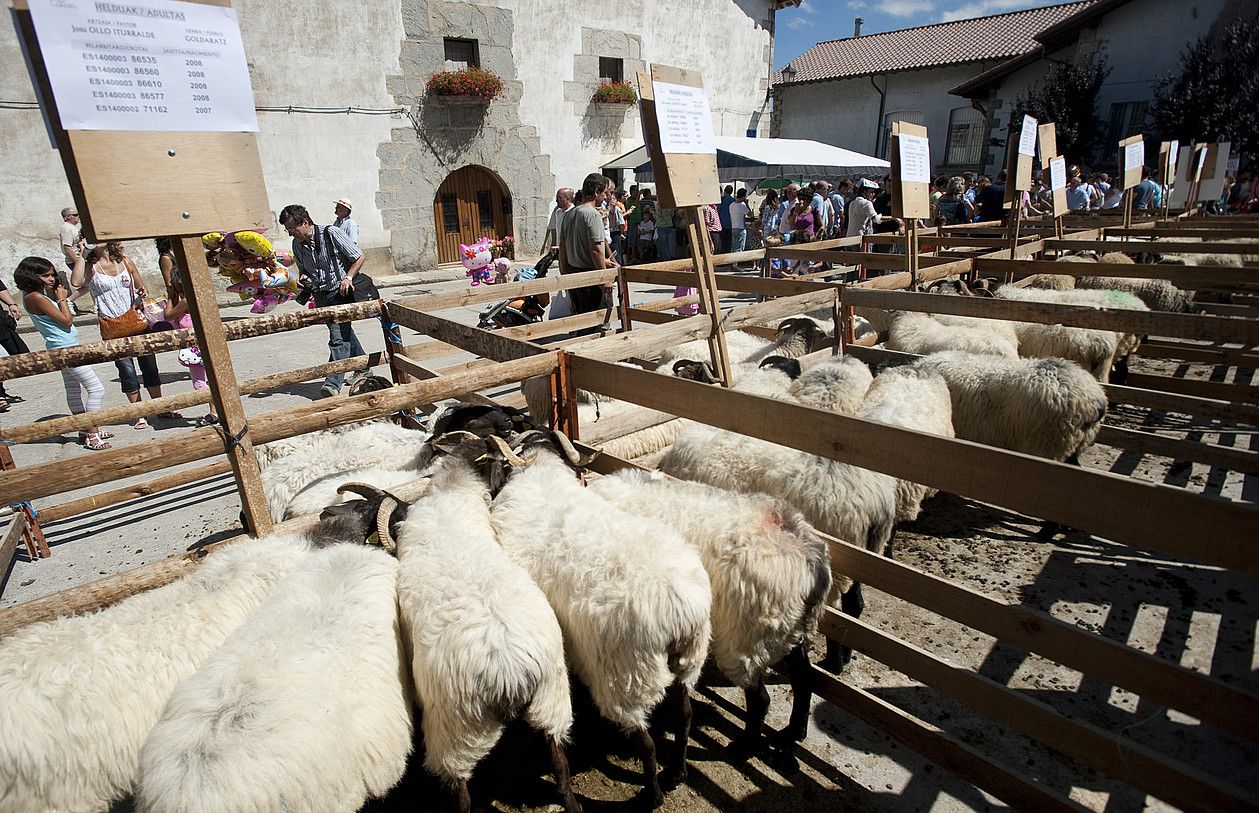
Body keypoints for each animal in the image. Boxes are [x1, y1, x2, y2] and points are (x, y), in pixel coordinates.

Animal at [382, 458, 579, 813]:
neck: (446, 506)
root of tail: (511, 675)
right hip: (553, 698)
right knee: (560, 766)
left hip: (454, 731)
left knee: (461, 792)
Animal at [485, 432, 715, 810]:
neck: (541, 474)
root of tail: (679, 610)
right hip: (689, 661)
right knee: (684, 717)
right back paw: (678, 773)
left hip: (625, 678)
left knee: (647, 743)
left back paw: (652, 796)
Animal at [591, 468, 830, 755]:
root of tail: (812, 561)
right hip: (791, 629)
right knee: (804, 679)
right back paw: (794, 732)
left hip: (746, 640)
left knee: (761, 698)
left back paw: (744, 748)